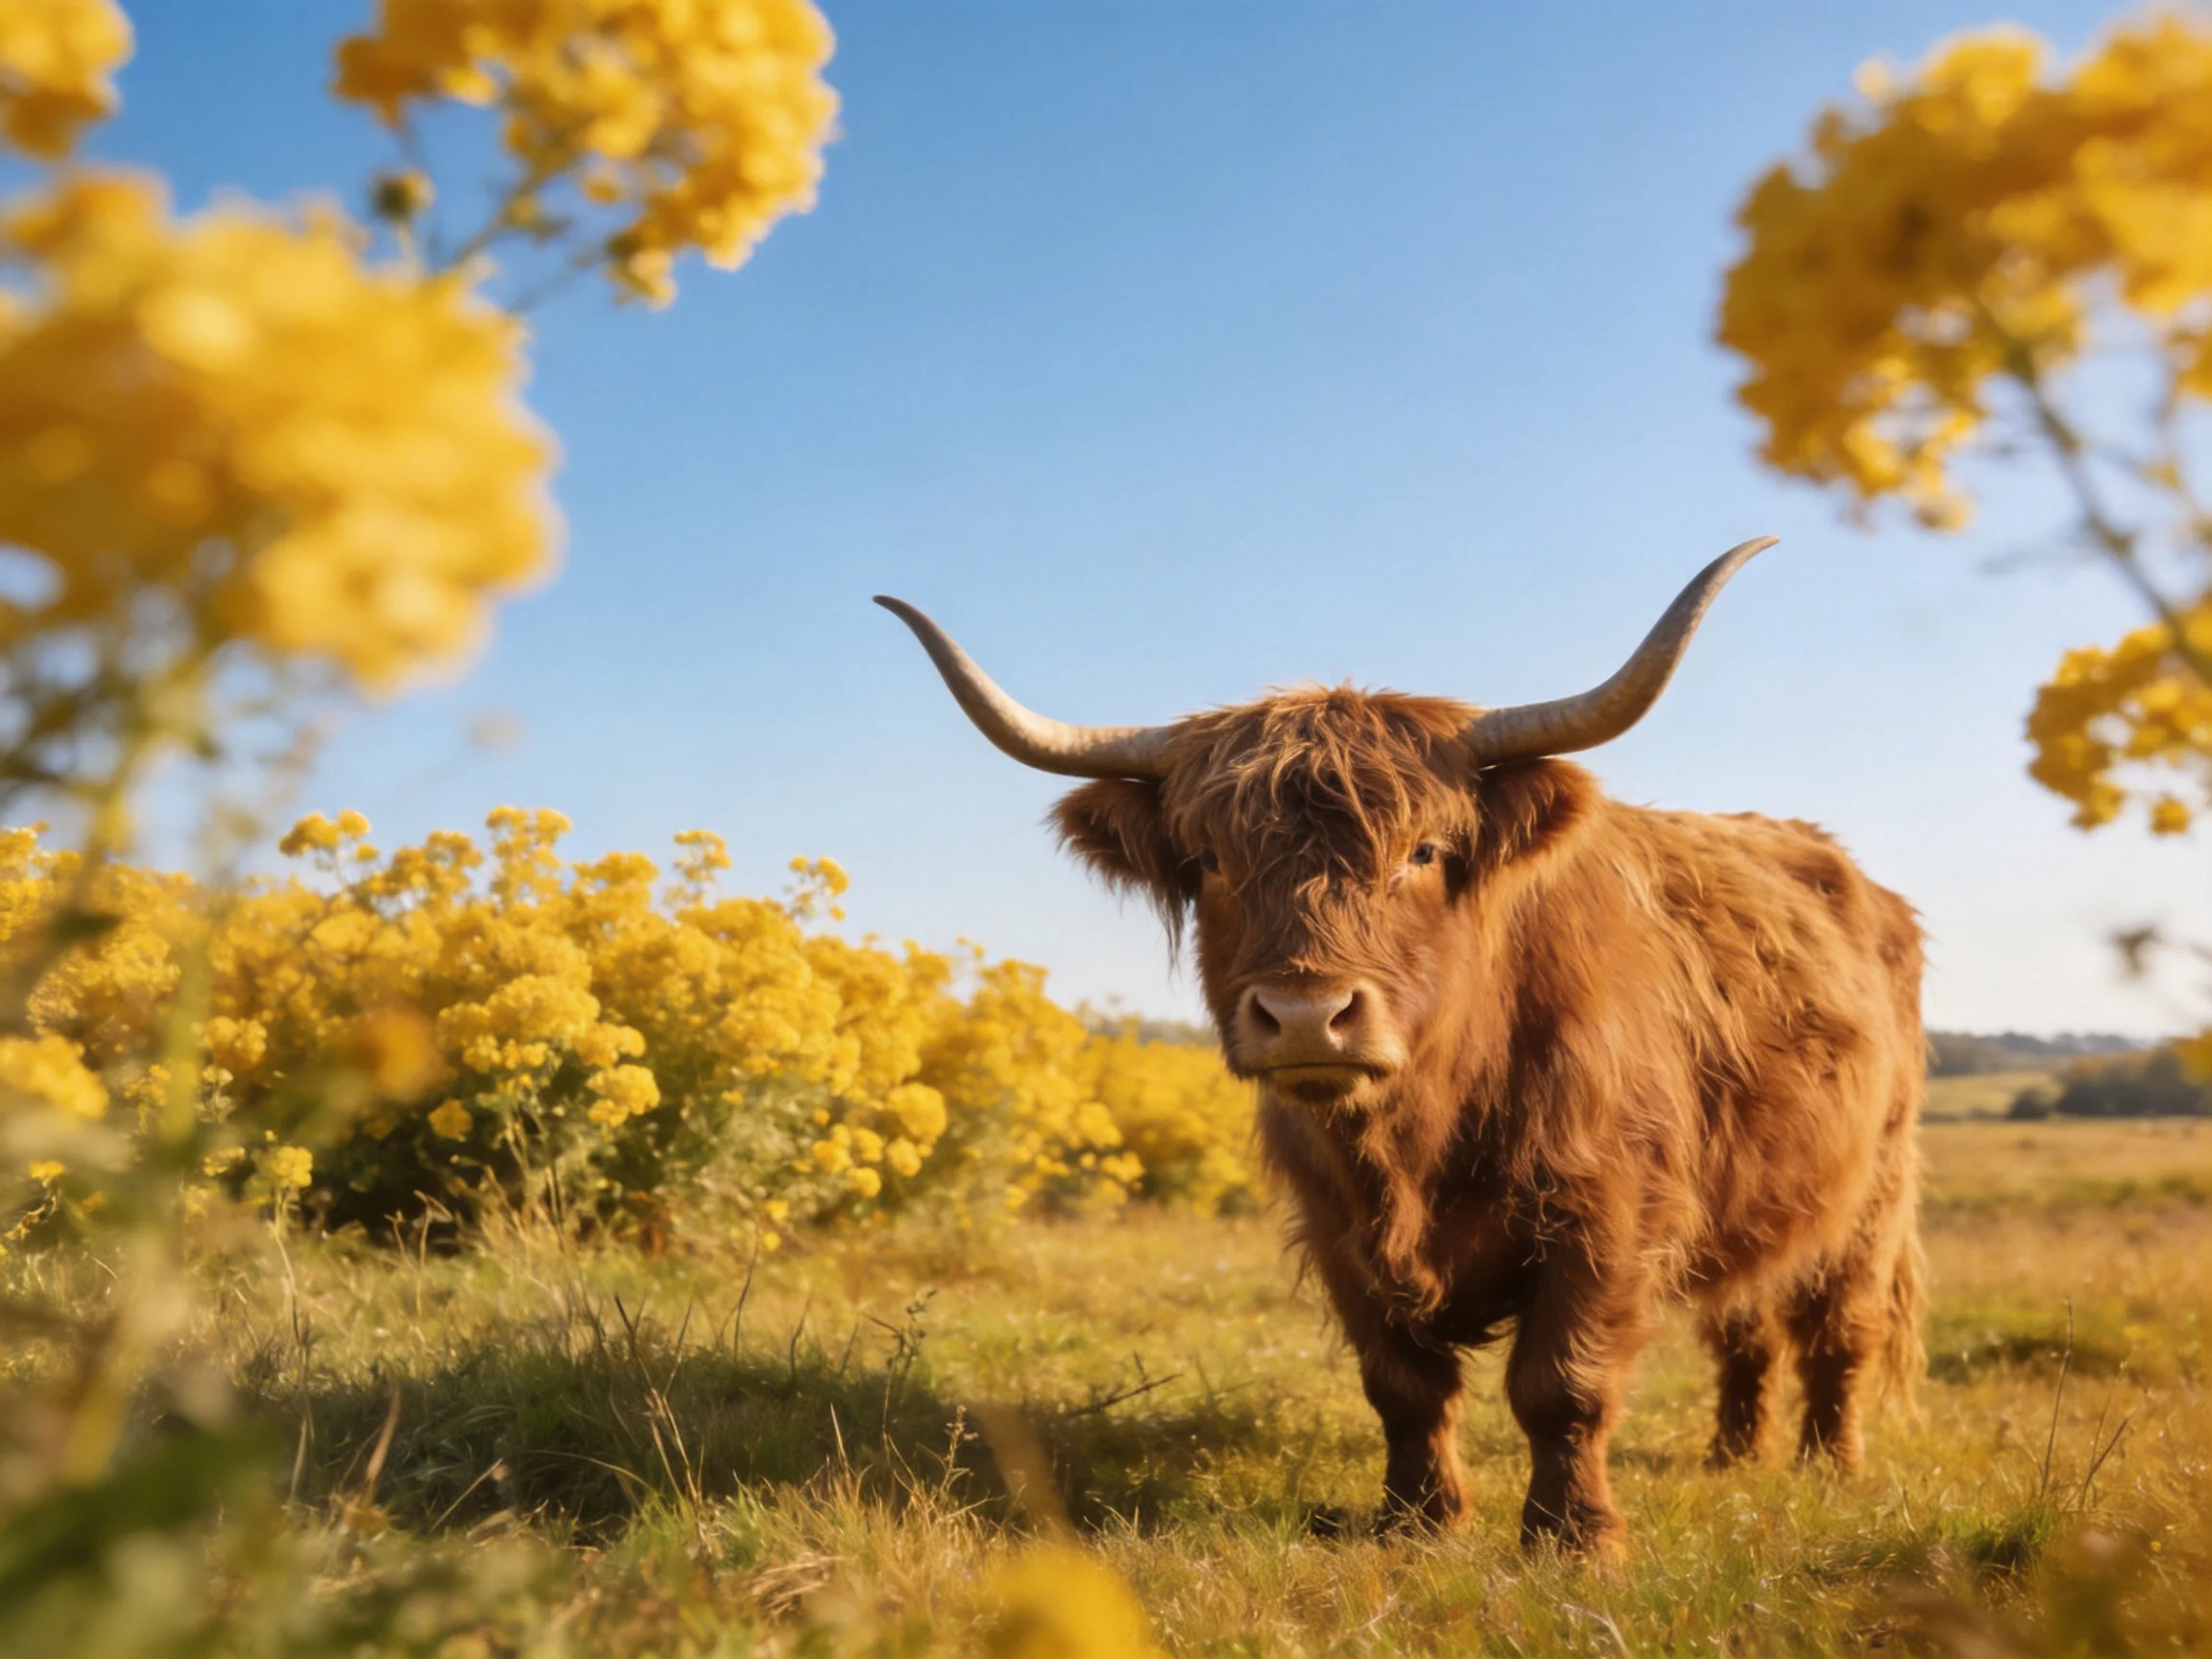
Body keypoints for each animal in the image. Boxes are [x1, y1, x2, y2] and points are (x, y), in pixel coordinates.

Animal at [877, 537, 1925, 1560]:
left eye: (1422, 852)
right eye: (1211, 859)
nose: (1306, 1014)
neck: (1418, 1135)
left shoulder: (1607, 1213)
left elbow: (1563, 1383)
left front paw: (1574, 1537)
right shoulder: (1339, 1229)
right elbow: (1404, 1385)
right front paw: (1419, 1520)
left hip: (1872, 1194)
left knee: (1839, 1330)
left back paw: (1829, 1466)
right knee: (1744, 1328)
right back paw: (1732, 1458)